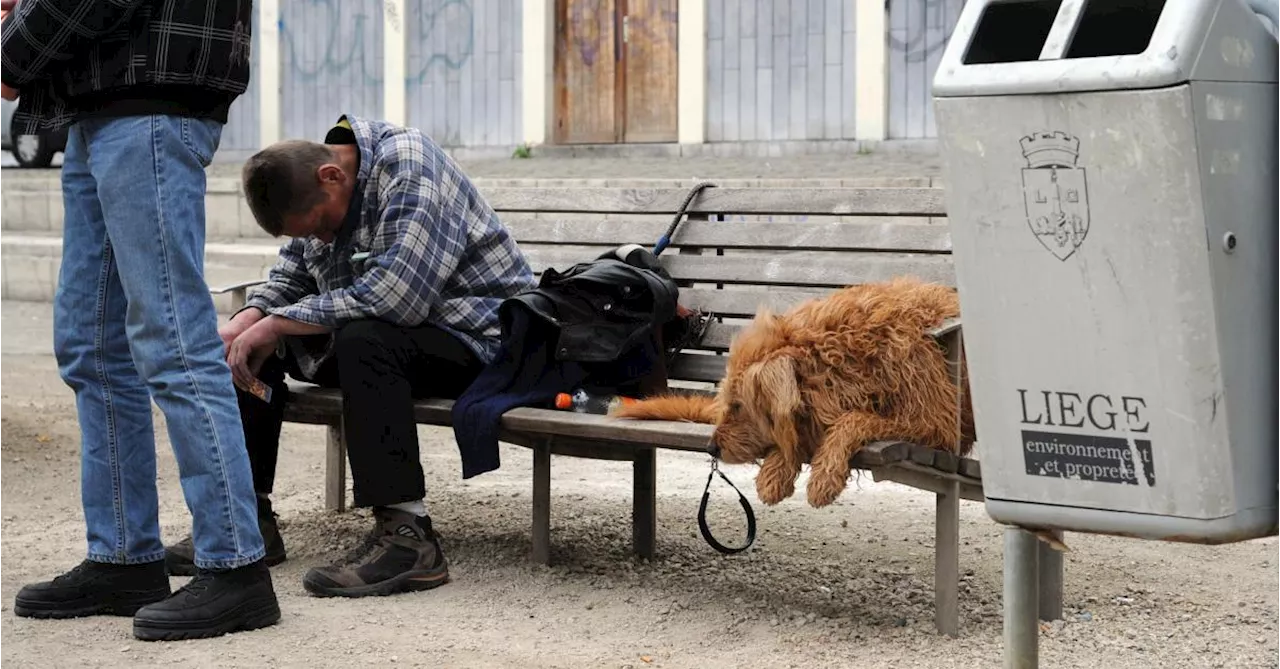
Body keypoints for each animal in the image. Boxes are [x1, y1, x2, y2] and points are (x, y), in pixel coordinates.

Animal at [614, 277, 972, 509]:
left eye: (739, 406)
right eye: (727, 403)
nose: (711, 447)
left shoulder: (935, 423)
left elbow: (854, 419)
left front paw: (824, 475)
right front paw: (777, 470)